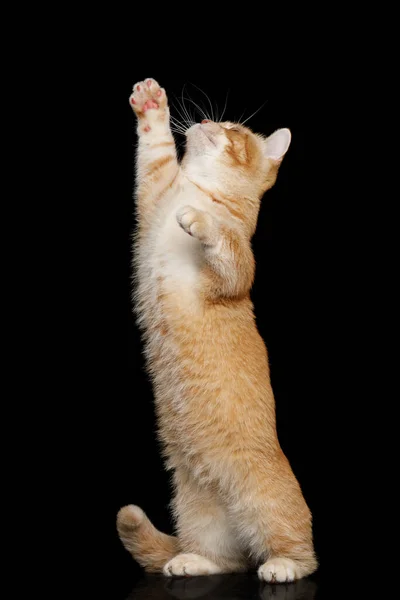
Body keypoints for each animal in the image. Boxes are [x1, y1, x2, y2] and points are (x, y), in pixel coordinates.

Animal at [117, 77, 318, 584]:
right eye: (221, 122)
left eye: (233, 129)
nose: (208, 120)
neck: (199, 190)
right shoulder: (152, 197)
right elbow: (154, 154)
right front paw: (151, 105)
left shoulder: (239, 270)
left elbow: (225, 242)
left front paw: (201, 220)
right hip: (195, 505)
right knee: (228, 558)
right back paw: (194, 559)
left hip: (266, 496)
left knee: (299, 550)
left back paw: (283, 565)